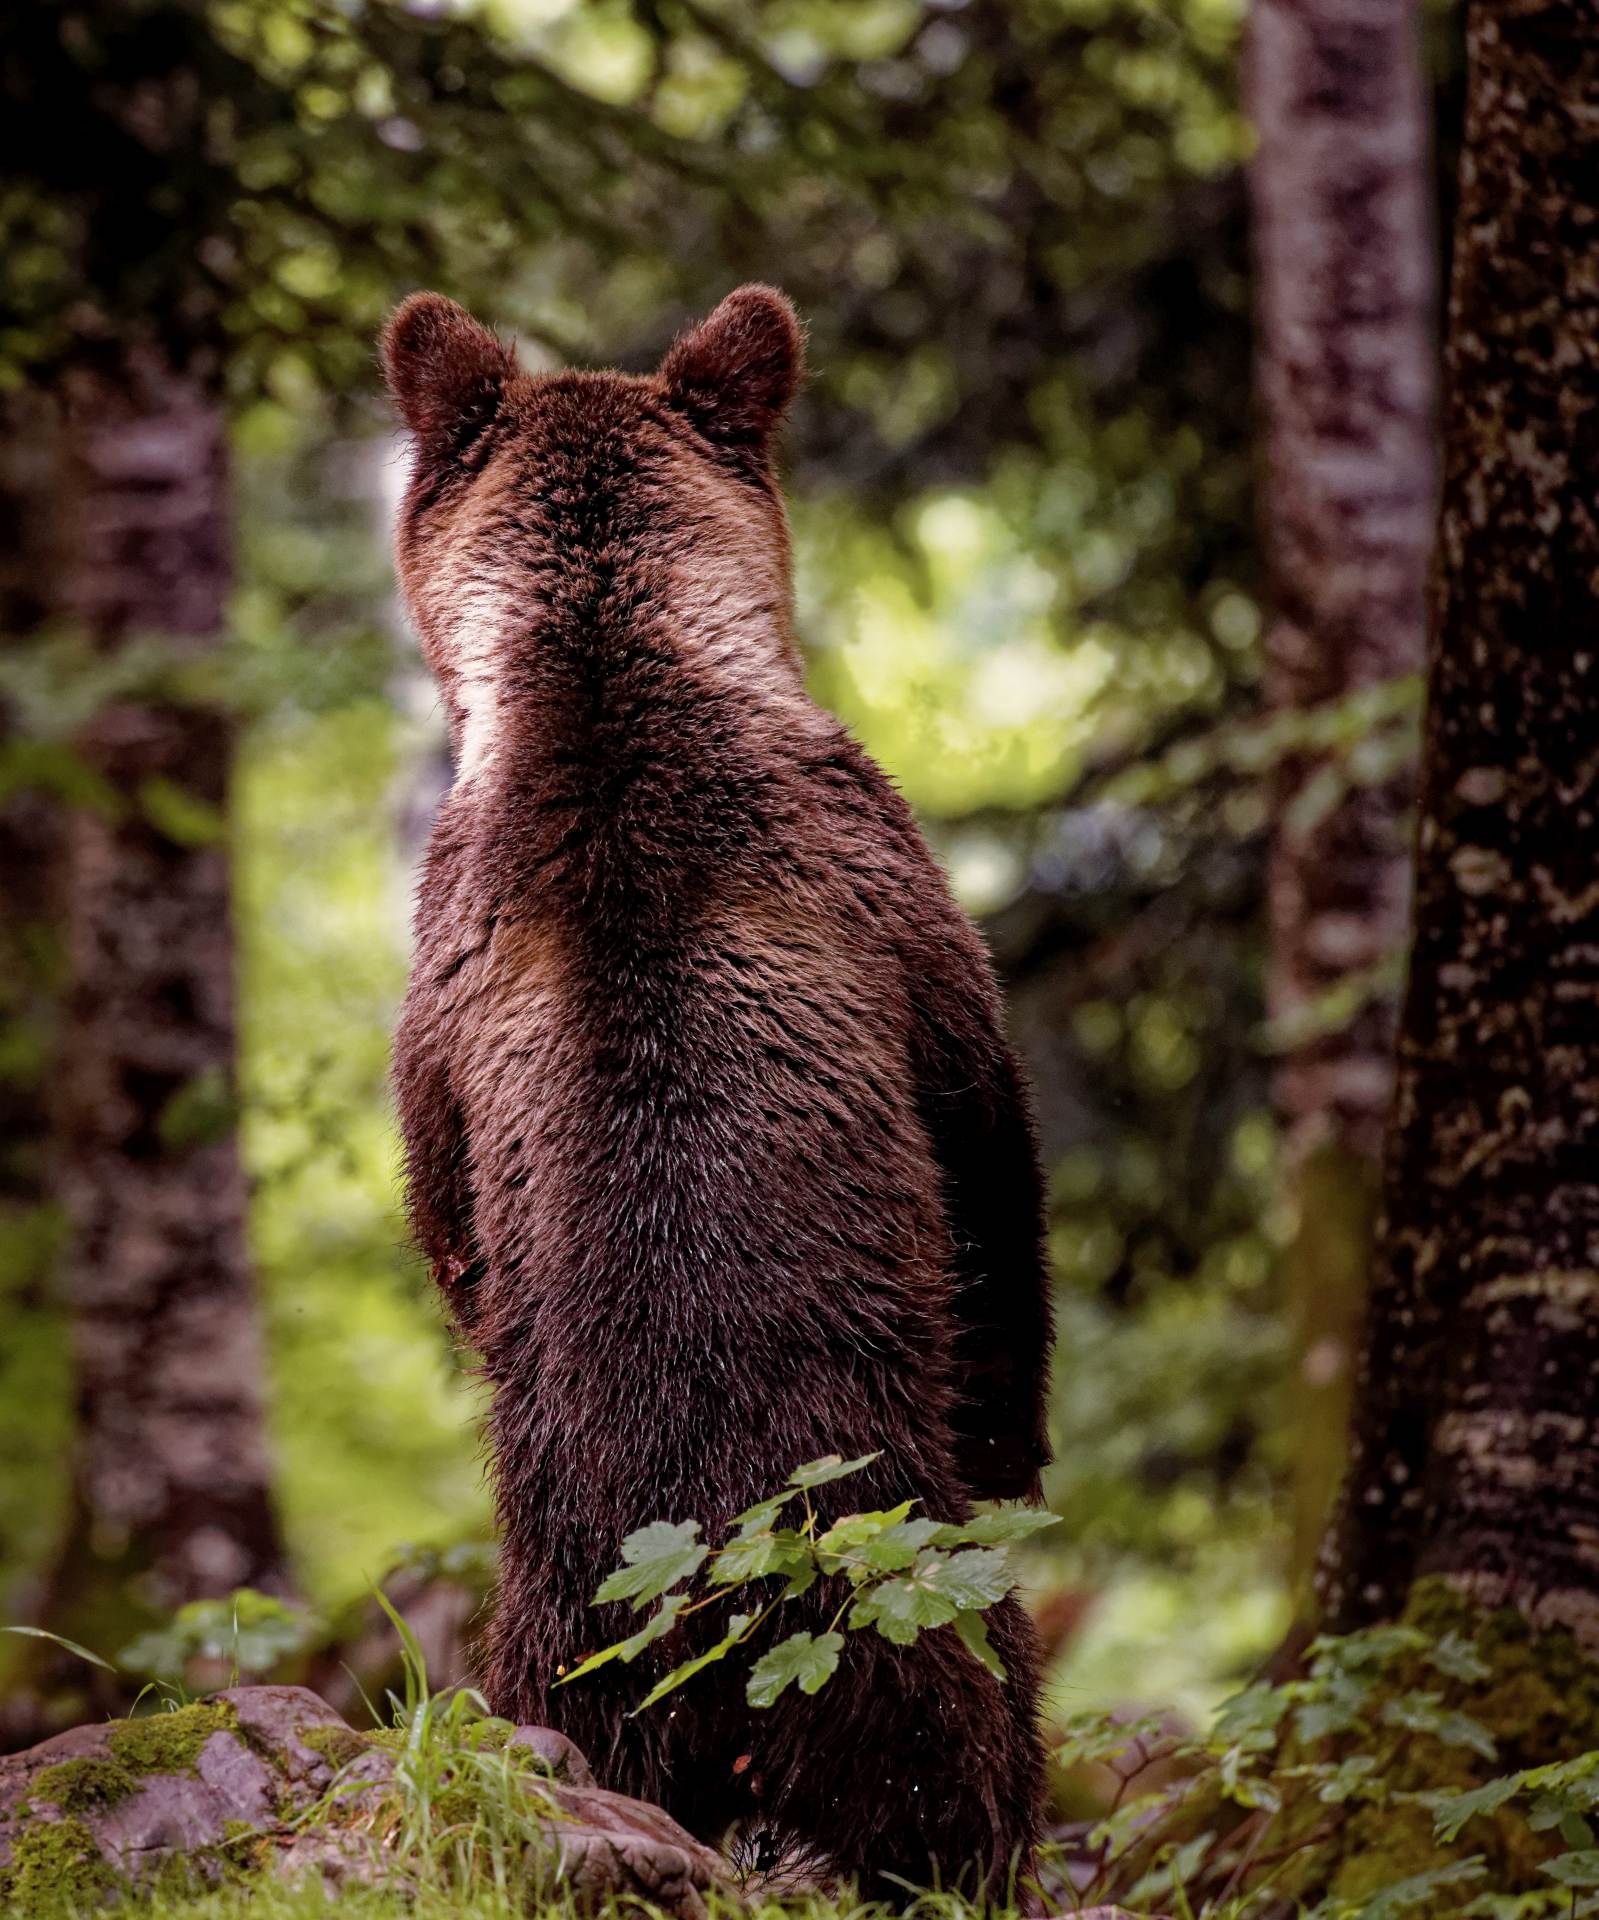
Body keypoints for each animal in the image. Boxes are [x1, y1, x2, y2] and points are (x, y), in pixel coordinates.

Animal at [380, 280, 1051, 1889]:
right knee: (966, 1724)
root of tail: (721, 1625)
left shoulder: (449, 974)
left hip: (567, 1639)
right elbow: (993, 1195)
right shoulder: (897, 910)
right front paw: (1025, 1436)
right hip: (871, 1578)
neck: (605, 669)